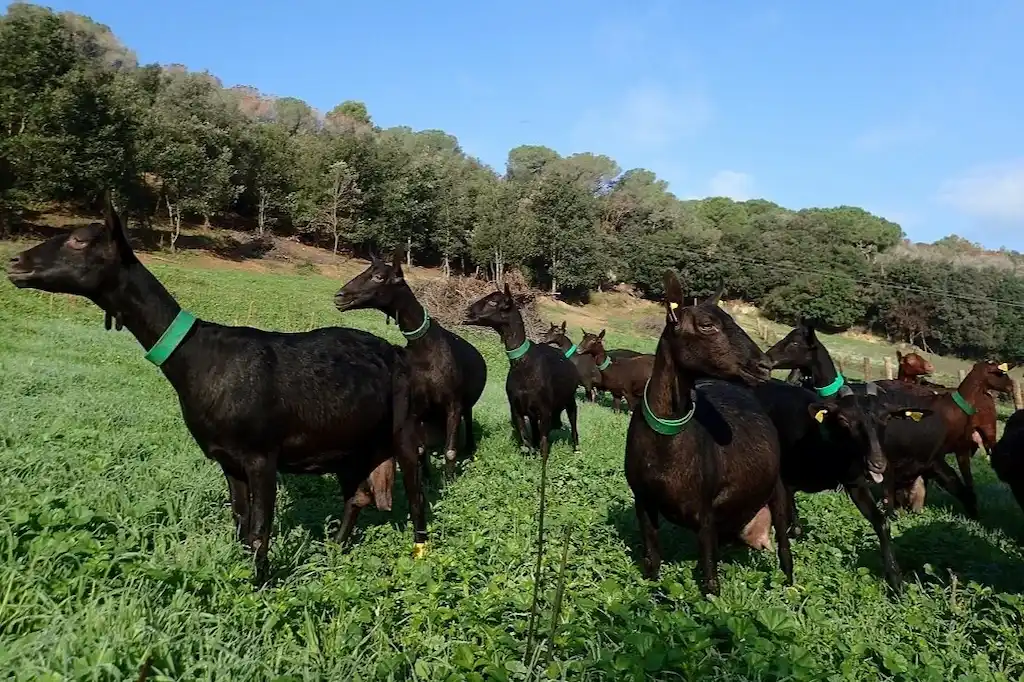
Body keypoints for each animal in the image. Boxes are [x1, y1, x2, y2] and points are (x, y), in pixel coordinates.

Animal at [5, 193, 426, 581]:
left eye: (79, 240)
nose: (15, 263)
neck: (200, 357)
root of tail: (396, 352)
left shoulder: (262, 455)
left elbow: (260, 529)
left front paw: (259, 585)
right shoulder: (228, 459)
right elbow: (240, 520)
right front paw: (240, 572)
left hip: (404, 429)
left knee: (416, 494)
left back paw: (420, 554)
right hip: (350, 442)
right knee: (357, 495)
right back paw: (335, 552)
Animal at [335, 250, 487, 479]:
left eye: (379, 276)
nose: (340, 296)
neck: (425, 346)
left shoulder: (453, 402)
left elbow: (450, 451)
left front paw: (449, 480)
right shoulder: (416, 406)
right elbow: (420, 448)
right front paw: (427, 476)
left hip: (466, 404)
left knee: (467, 423)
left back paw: (469, 447)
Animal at [464, 283, 580, 457]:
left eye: (493, 302)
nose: (467, 312)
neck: (524, 363)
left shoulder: (544, 410)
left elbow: (544, 442)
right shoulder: (516, 408)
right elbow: (526, 439)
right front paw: (530, 455)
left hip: (570, 398)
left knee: (573, 422)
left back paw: (576, 449)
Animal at [625, 270, 792, 595]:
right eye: (706, 324)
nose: (763, 366)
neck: (666, 439)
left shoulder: (704, 512)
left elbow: (711, 581)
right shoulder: (644, 502)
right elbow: (653, 561)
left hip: (777, 489)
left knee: (785, 551)